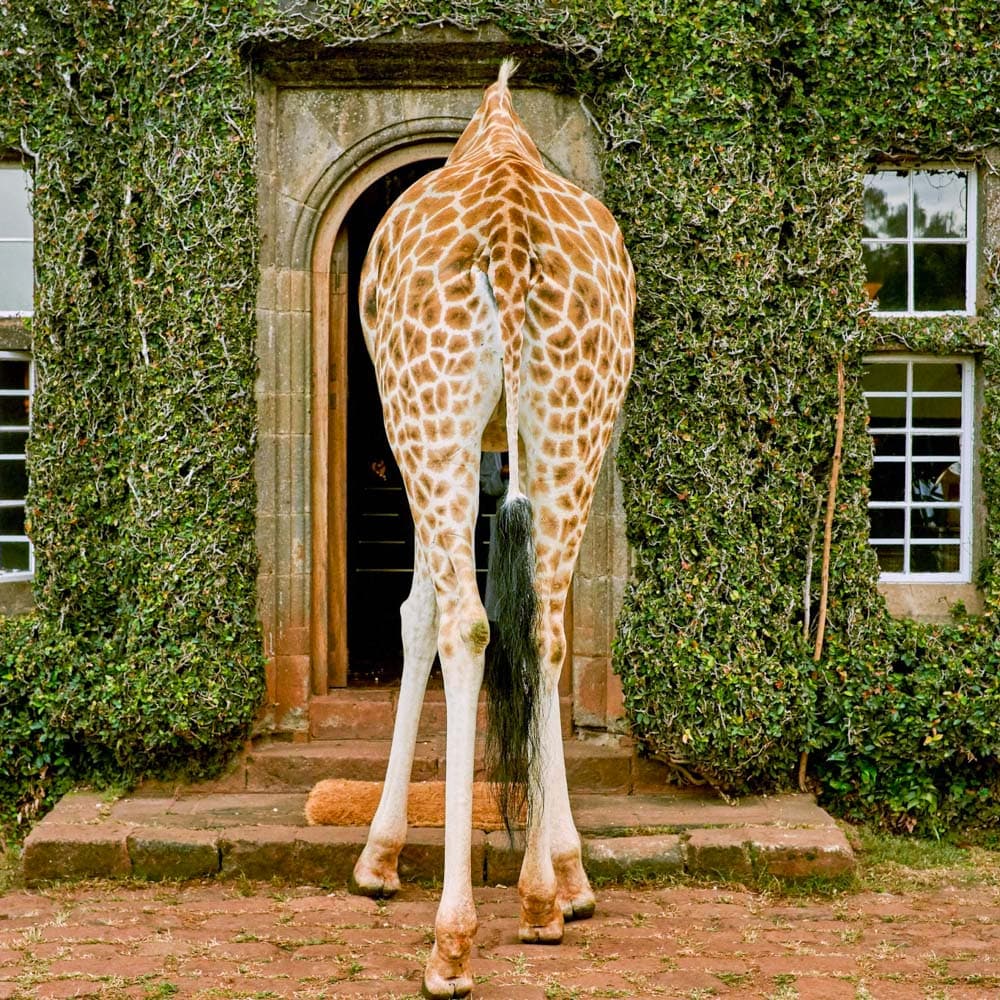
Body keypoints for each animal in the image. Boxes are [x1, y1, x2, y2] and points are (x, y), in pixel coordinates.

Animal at [349, 61, 635, 998]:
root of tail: (508, 243)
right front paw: (572, 878)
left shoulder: (418, 429)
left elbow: (414, 617)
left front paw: (377, 859)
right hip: (578, 414)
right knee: (545, 628)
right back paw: (544, 898)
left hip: (424, 412)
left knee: (465, 625)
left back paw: (451, 941)